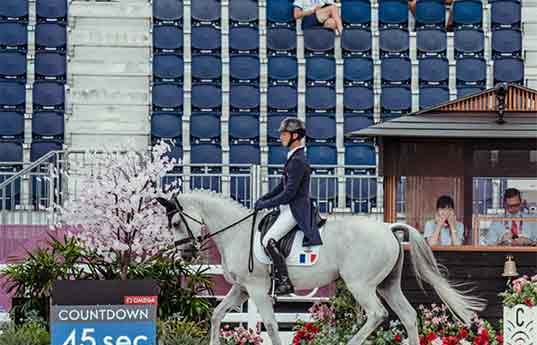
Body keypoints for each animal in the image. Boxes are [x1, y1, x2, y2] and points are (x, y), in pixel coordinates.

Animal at [156, 189, 486, 344]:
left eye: (175, 223)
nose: (185, 253)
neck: (236, 231)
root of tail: (387, 227)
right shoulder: (241, 288)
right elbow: (216, 315)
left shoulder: (257, 289)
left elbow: (272, 326)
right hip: (387, 285)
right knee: (408, 316)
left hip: (361, 284)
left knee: (378, 314)